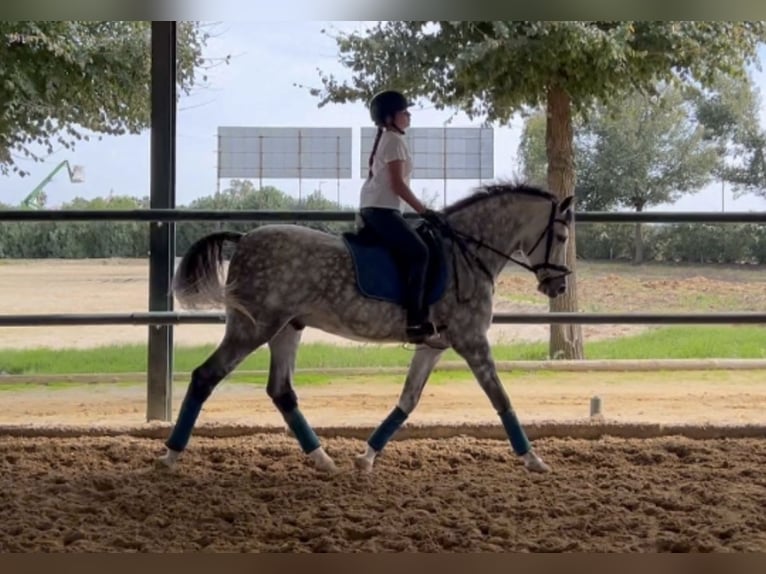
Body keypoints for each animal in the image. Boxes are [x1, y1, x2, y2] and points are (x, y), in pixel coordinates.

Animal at [158, 183, 576, 476]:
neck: (467, 253)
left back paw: (323, 459)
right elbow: (501, 399)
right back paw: (170, 455)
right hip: (252, 328)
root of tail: (243, 238)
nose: (558, 286)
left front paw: (367, 457)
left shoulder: (434, 344)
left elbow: (407, 401)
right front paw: (533, 459)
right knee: (205, 377)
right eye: (561, 237)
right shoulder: (472, 341)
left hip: (286, 329)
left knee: (281, 391)